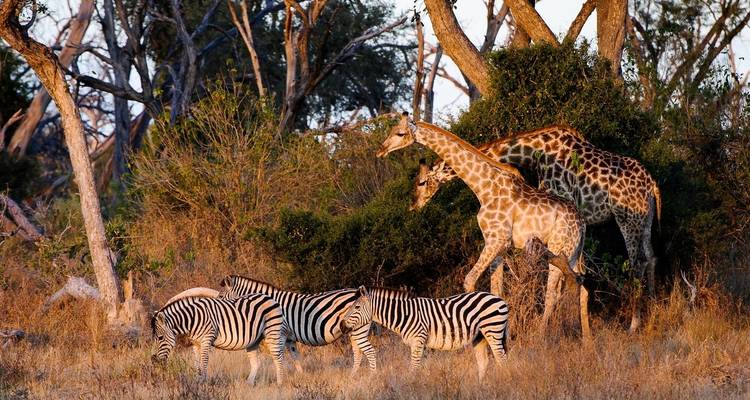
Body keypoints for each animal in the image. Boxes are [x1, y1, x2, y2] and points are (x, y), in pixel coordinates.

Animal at [151, 293, 288, 385]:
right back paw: (248, 384)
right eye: (155, 339)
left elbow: (204, 361)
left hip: (272, 332)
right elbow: (197, 364)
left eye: (160, 338)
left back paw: (279, 384)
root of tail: (269, 297)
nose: (155, 361)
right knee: (256, 362)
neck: (193, 318)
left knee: (278, 357)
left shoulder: (206, 340)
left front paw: (203, 383)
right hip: (254, 340)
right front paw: (197, 382)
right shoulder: (196, 344)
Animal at [218, 275, 376, 374]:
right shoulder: (289, 337)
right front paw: (301, 377)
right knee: (358, 352)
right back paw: (353, 376)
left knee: (369, 351)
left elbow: (279, 355)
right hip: (353, 330)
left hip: (359, 329)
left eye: (220, 296)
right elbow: (295, 357)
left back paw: (370, 376)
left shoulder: (280, 333)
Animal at [341, 287, 510, 379]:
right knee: (484, 362)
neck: (405, 314)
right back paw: (481, 387)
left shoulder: (418, 339)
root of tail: (499, 299)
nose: (342, 326)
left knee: (501, 359)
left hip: (493, 330)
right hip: (479, 336)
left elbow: (414, 366)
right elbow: (416, 365)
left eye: (356, 307)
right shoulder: (414, 343)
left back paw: (503, 383)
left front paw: (411, 385)